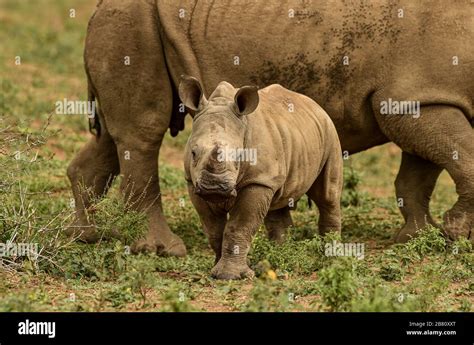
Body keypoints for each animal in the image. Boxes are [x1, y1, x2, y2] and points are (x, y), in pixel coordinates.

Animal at [67, 0, 474, 255]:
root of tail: (97, 8)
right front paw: (455, 233)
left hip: (133, 21)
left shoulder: (424, 97)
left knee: (113, 138)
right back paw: (165, 251)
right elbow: (462, 157)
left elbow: (419, 174)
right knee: (143, 132)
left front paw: (419, 237)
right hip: (133, 20)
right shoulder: (416, 97)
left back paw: (87, 237)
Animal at [179, 76, 340, 280]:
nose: (214, 187)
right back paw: (280, 256)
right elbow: (214, 229)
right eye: (193, 153)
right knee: (277, 202)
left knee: (327, 196)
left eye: (240, 156)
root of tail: (314, 104)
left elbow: (239, 226)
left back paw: (331, 258)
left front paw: (230, 276)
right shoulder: (192, 182)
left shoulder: (257, 181)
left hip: (330, 131)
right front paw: (216, 270)